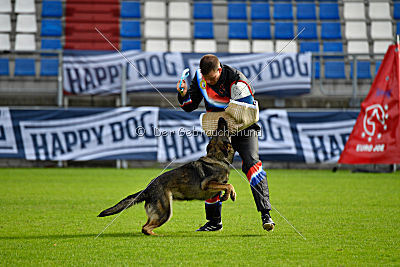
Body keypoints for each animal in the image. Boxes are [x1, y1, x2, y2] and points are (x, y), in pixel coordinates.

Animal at [99, 118, 236, 236]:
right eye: (222, 130)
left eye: (218, 131)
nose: (221, 118)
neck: (217, 157)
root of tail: (148, 188)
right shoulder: (207, 184)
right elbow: (228, 185)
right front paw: (229, 195)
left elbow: (227, 186)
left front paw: (228, 195)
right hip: (165, 212)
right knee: (145, 228)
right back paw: (158, 235)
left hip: (159, 213)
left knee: (145, 226)